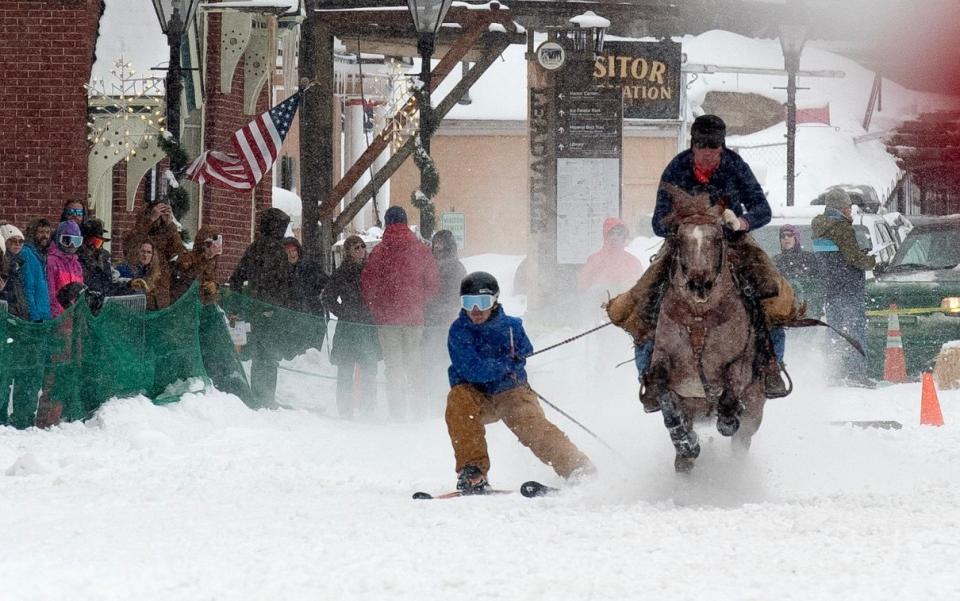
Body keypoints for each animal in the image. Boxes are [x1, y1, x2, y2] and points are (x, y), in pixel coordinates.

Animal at [648, 185, 768, 472]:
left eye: (717, 239)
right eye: (680, 239)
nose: (699, 285)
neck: (699, 319)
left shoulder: (740, 362)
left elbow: (730, 392)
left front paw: (727, 418)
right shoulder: (663, 356)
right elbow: (662, 389)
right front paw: (685, 442)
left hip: (756, 409)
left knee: (742, 439)